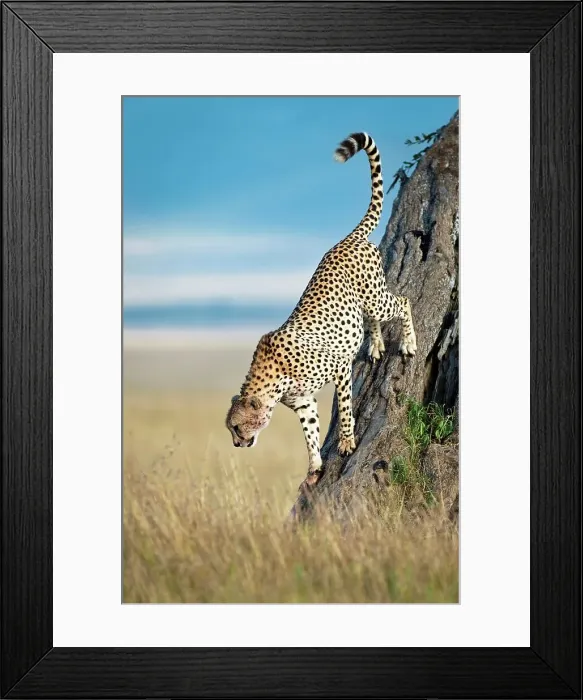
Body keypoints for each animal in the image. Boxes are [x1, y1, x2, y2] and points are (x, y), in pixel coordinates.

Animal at [226, 132, 417, 490]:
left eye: (236, 426)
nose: (237, 444)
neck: (272, 380)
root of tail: (348, 238)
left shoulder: (339, 367)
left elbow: (344, 408)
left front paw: (346, 441)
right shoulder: (303, 401)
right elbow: (309, 433)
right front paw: (314, 465)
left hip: (376, 297)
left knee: (403, 301)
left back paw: (408, 343)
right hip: (363, 304)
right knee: (371, 321)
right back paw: (375, 345)